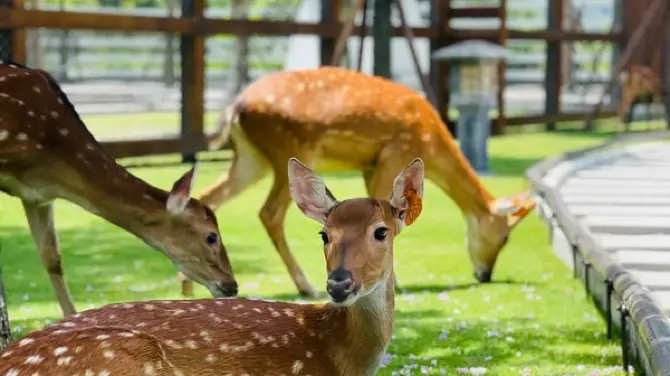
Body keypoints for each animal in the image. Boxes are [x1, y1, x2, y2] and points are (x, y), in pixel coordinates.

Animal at [180, 66, 540, 298]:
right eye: (506, 236)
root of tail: (234, 109)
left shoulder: (371, 165)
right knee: (269, 213)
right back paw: (306, 286)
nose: (485, 274)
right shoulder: (393, 154)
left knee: (207, 199)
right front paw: (392, 283)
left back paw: (191, 285)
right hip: (291, 148)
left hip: (250, 157)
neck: (431, 142)